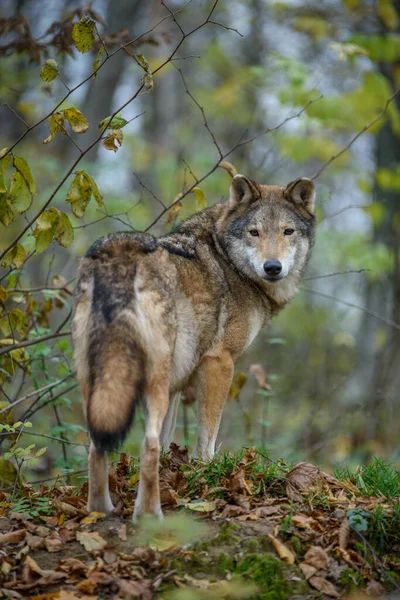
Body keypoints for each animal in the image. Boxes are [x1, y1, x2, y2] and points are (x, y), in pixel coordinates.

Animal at [72, 175, 316, 520]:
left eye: (288, 231)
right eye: (254, 232)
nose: (272, 267)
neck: (228, 261)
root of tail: (121, 251)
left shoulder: (177, 384)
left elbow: (168, 440)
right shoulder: (219, 362)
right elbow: (206, 436)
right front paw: (209, 476)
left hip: (97, 381)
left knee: (97, 446)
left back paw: (101, 510)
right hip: (152, 380)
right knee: (147, 445)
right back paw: (149, 517)